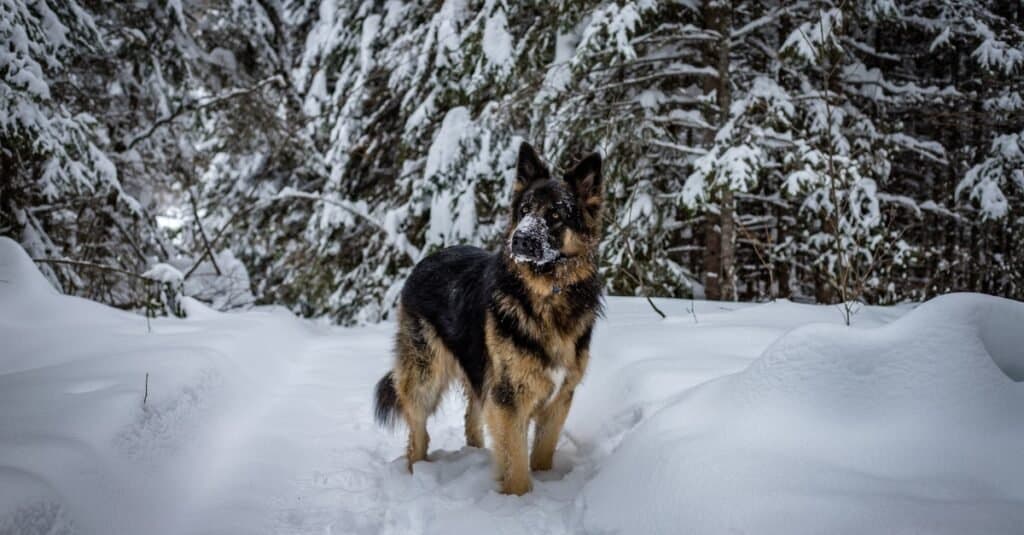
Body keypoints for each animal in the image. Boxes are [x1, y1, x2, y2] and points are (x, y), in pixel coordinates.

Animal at [374, 140, 598, 491]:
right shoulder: (509, 399)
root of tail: (426, 259)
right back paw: (416, 474)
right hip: (425, 377)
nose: (520, 239)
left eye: (555, 215)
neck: (546, 294)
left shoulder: (559, 398)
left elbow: (542, 453)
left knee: (470, 417)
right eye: (524, 211)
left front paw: (545, 481)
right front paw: (518, 500)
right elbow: (516, 464)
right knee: (418, 436)